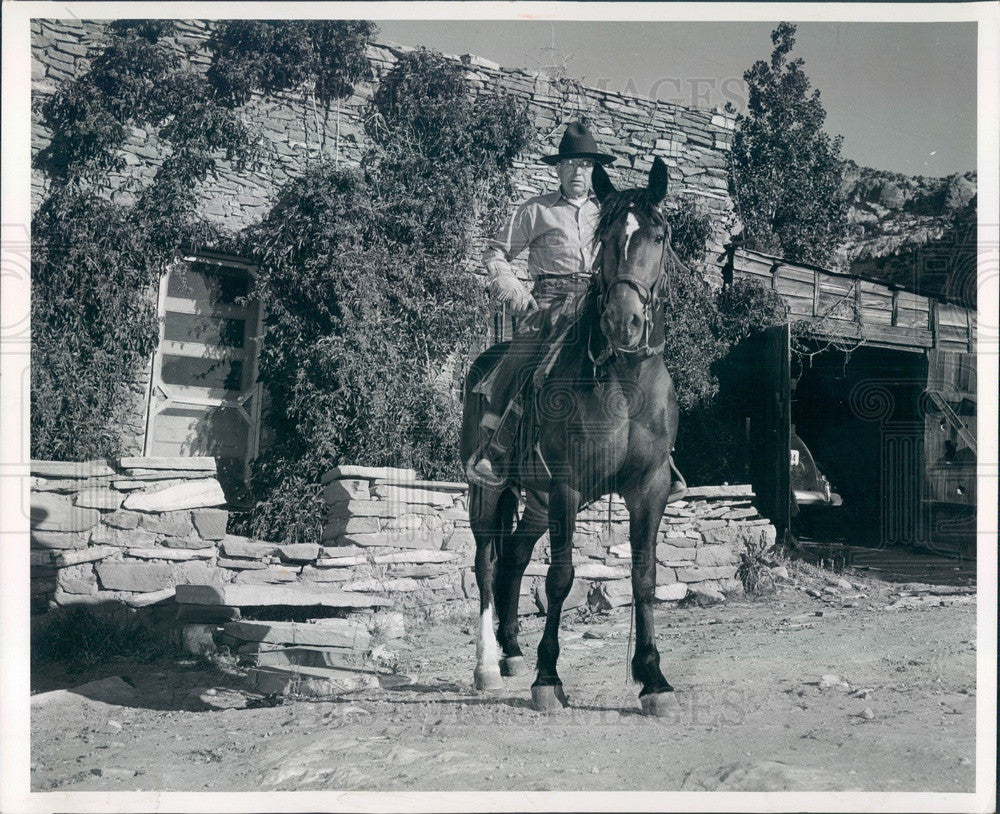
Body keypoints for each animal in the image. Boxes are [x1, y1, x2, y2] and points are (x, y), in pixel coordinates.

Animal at [462, 158, 684, 712]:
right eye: (606, 237)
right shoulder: (566, 485)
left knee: (514, 559)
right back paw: (487, 666)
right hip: (487, 492)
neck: (624, 384)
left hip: (537, 503)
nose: (624, 322)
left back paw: (512, 652)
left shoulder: (649, 488)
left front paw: (653, 678)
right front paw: (549, 678)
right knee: (485, 565)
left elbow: (644, 577)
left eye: (658, 236)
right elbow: (561, 577)